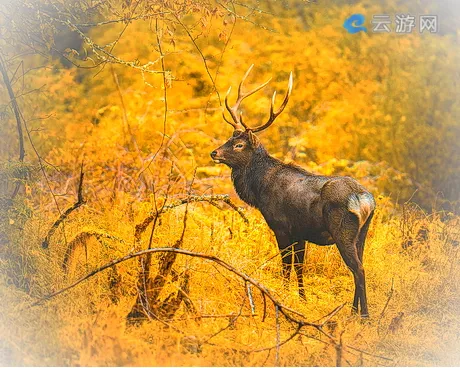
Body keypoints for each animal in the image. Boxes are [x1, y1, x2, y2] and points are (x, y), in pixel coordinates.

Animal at [210, 65, 376, 316]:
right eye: (229, 138)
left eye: (238, 145)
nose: (214, 153)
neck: (260, 190)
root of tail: (364, 199)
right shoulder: (300, 232)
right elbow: (300, 267)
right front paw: (303, 299)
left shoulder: (281, 227)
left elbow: (286, 266)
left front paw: (284, 297)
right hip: (363, 232)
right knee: (361, 264)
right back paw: (354, 311)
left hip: (342, 231)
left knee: (358, 269)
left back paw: (362, 314)